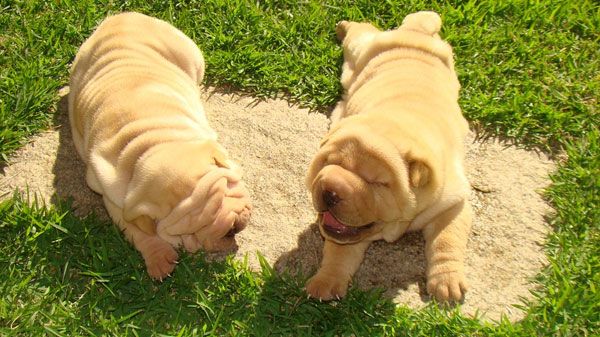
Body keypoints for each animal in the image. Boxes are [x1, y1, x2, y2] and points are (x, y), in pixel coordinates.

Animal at [68, 12, 251, 278]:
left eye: (225, 193)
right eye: (188, 232)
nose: (231, 230)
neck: (149, 145)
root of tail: (121, 16)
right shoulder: (115, 198)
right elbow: (137, 231)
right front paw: (158, 258)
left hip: (188, 52)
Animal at [308, 11, 472, 302]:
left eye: (378, 183)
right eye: (329, 163)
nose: (330, 191)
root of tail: (416, 33)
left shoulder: (454, 203)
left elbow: (447, 239)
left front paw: (448, 283)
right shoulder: (346, 232)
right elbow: (339, 252)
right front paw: (326, 281)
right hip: (361, 48)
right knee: (359, 32)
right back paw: (344, 25)